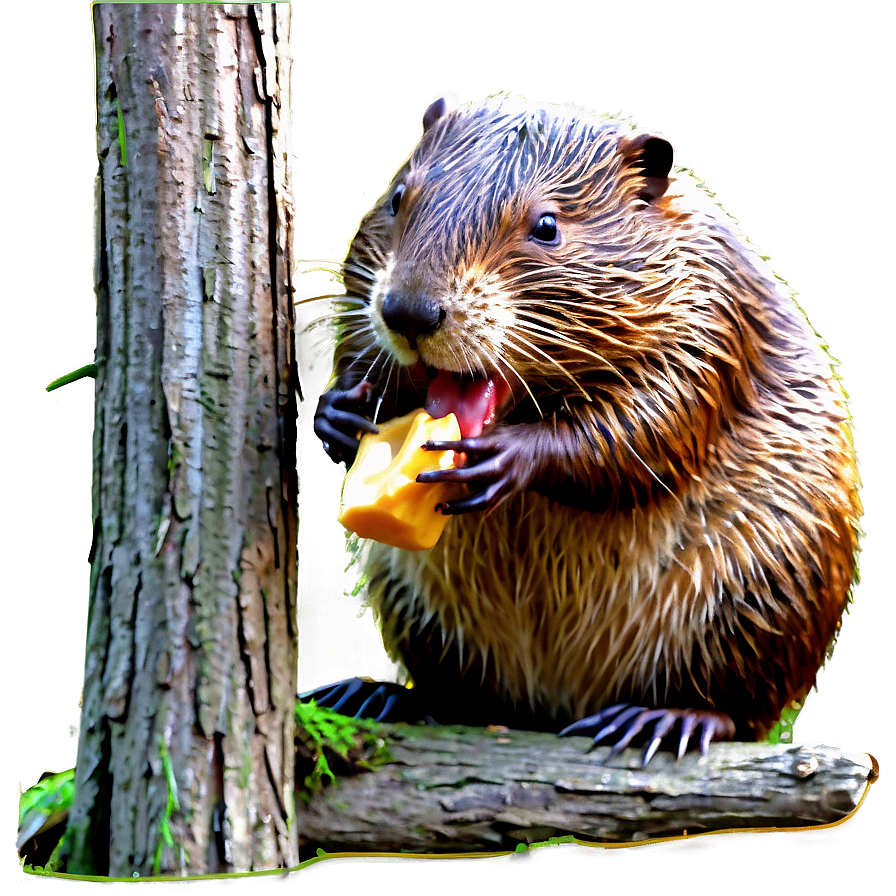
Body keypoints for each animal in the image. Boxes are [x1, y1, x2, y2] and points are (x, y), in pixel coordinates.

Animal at [308, 93, 860, 764]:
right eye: (396, 198)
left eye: (547, 226)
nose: (410, 312)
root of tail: (558, 710)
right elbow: (358, 345)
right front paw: (340, 416)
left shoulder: (713, 318)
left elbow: (650, 427)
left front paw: (502, 459)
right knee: (459, 695)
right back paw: (378, 697)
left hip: (764, 592)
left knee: (738, 709)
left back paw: (658, 722)